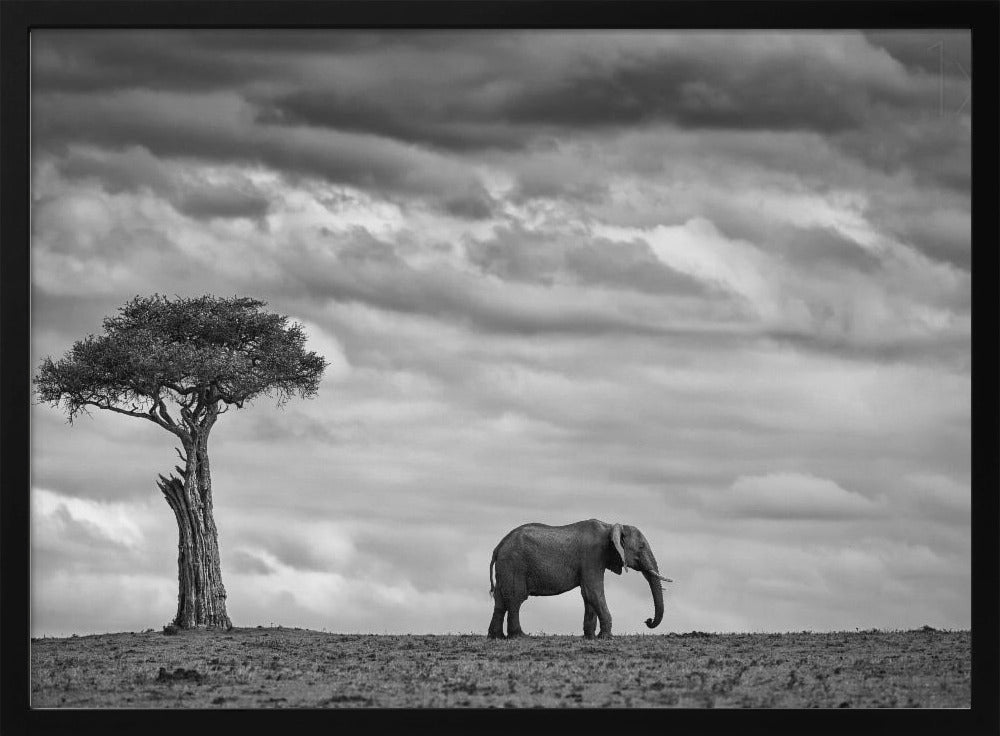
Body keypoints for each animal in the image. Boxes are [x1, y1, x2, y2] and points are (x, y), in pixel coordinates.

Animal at [487, 519, 672, 639]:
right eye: (641, 547)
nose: (647, 620)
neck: (610, 526)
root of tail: (498, 547)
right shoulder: (592, 555)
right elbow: (593, 591)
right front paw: (606, 637)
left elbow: (588, 595)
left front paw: (590, 637)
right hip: (514, 564)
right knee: (516, 598)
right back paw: (520, 636)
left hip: (506, 567)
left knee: (500, 601)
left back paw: (496, 637)